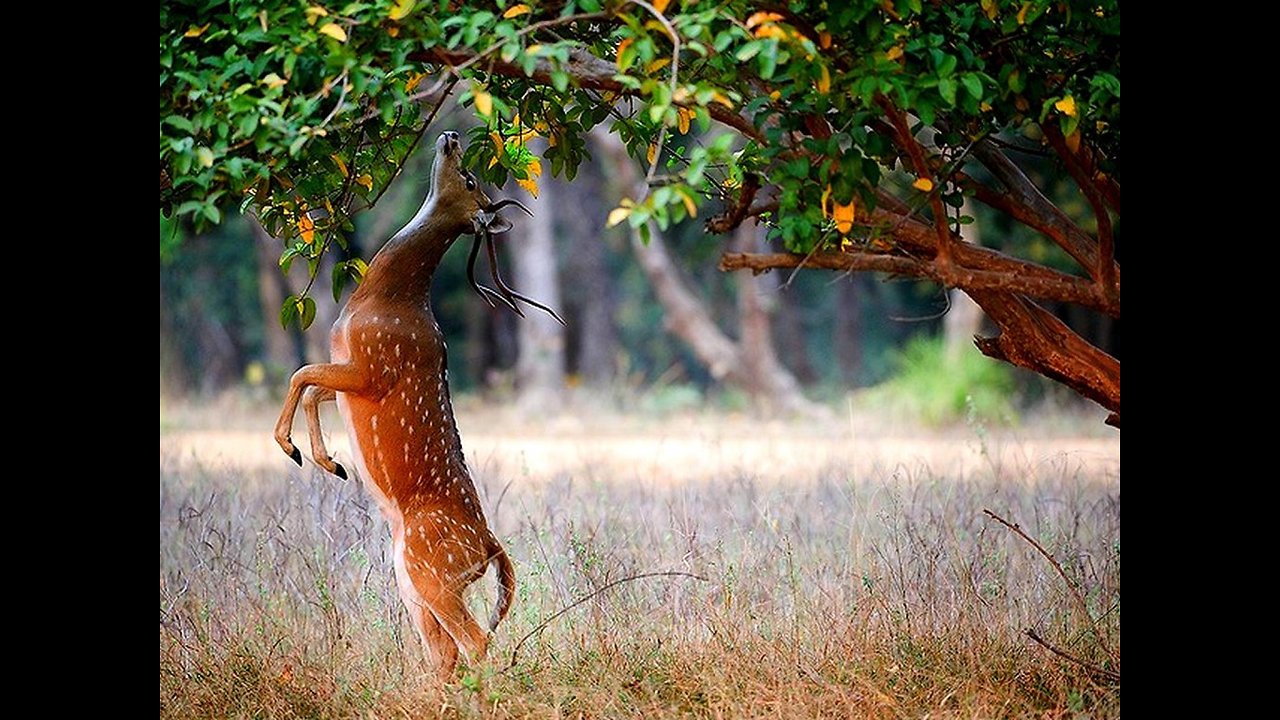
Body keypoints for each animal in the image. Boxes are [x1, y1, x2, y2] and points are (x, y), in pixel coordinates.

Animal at [272, 130, 558, 676]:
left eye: (469, 178)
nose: (451, 136)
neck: (380, 301)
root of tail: (489, 546)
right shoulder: (348, 368)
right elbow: (313, 386)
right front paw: (328, 461)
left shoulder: (372, 366)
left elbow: (300, 374)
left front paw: (293, 450)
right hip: (413, 583)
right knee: (445, 652)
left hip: (434, 573)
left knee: (476, 641)